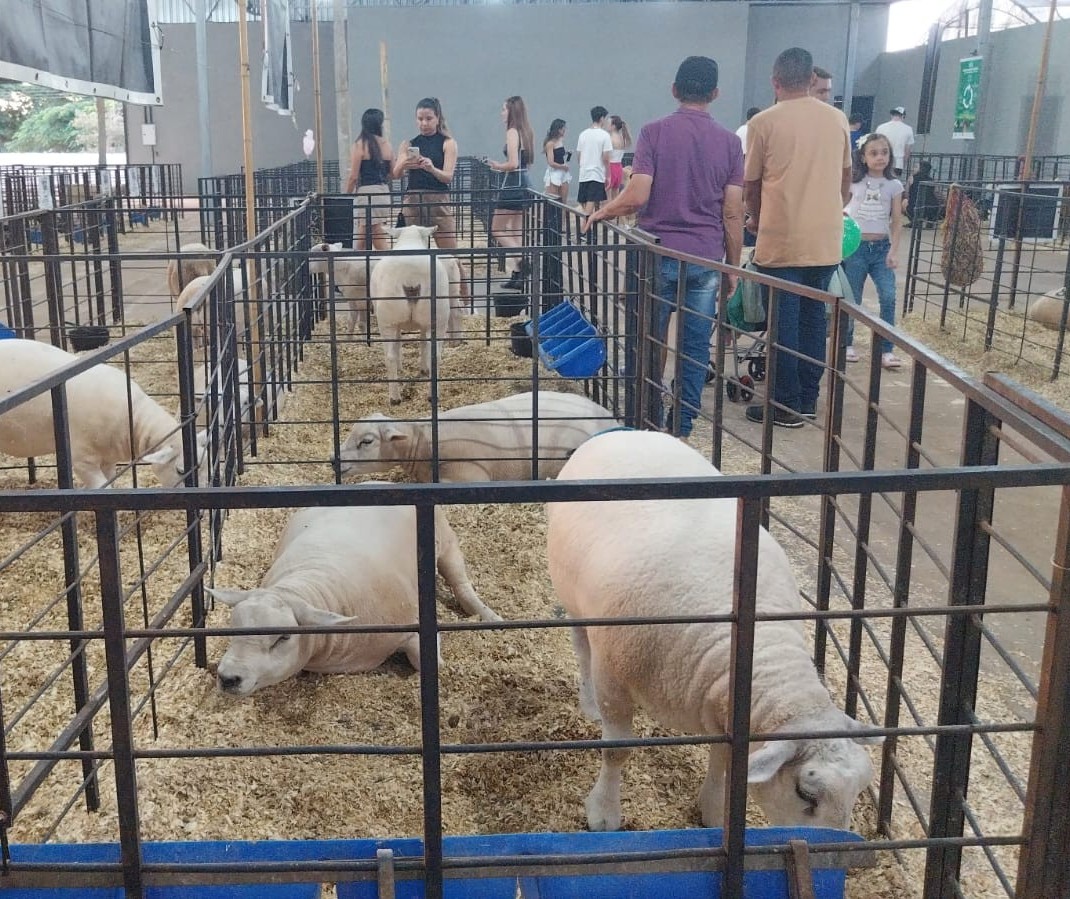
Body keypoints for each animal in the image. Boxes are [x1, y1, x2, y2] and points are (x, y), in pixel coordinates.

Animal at [208, 498, 500, 693]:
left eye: (283, 638)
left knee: (461, 584)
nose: (228, 678)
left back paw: (490, 616)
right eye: (230, 628)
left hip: (447, 543)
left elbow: (428, 662)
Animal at [370, 224, 453, 404]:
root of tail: (411, 279)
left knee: (389, 356)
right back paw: (432, 395)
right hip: (437, 316)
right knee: (435, 355)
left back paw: (394, 397)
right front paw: (423, 369)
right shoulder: (422, 324)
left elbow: (399, 344)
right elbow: (421, 343)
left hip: (387, 319)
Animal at [547, 432, 881, 830]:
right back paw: (588, 703)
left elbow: (724, 758)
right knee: (582, 651)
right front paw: (604, 813)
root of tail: (621, 433)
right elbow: (617, 752)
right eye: (806, 793)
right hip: (575, 604)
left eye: (859, 789)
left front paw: (713, 810)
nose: (841, 847)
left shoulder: (727, 708)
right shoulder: (612, 674)